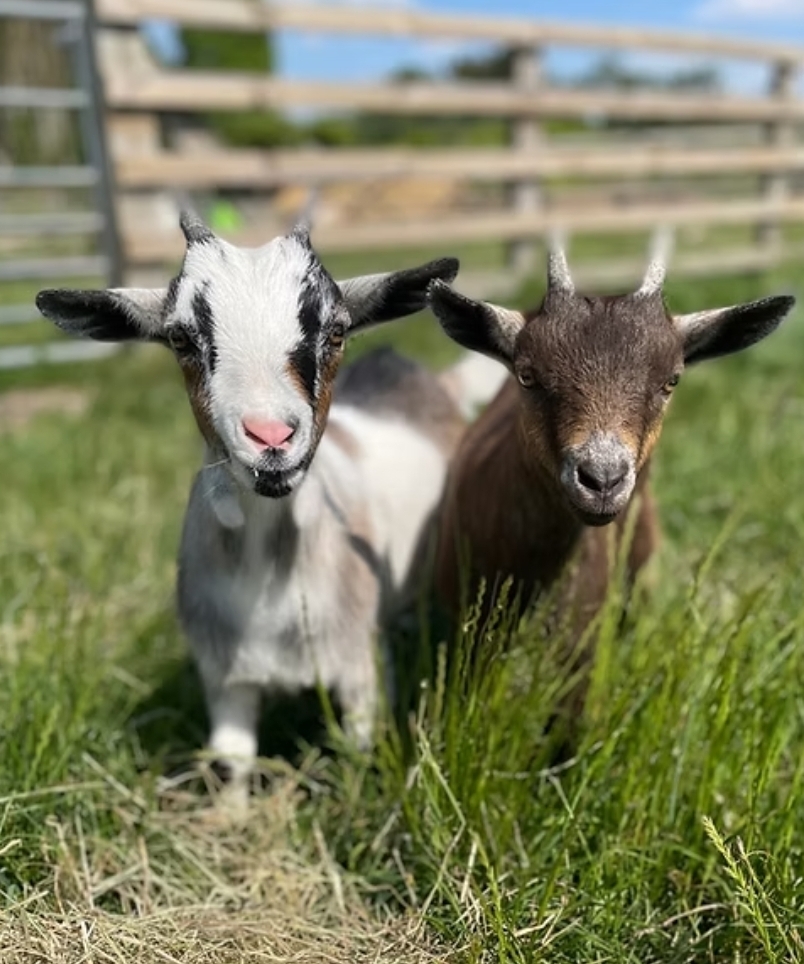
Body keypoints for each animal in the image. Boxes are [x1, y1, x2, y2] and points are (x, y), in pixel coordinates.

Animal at [36, 212, 505, 795]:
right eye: (179, 337)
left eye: (336, 330)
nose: (271, 436)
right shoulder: (224, 678)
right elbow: (230, 763)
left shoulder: (357, 671)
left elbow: (357, 753)